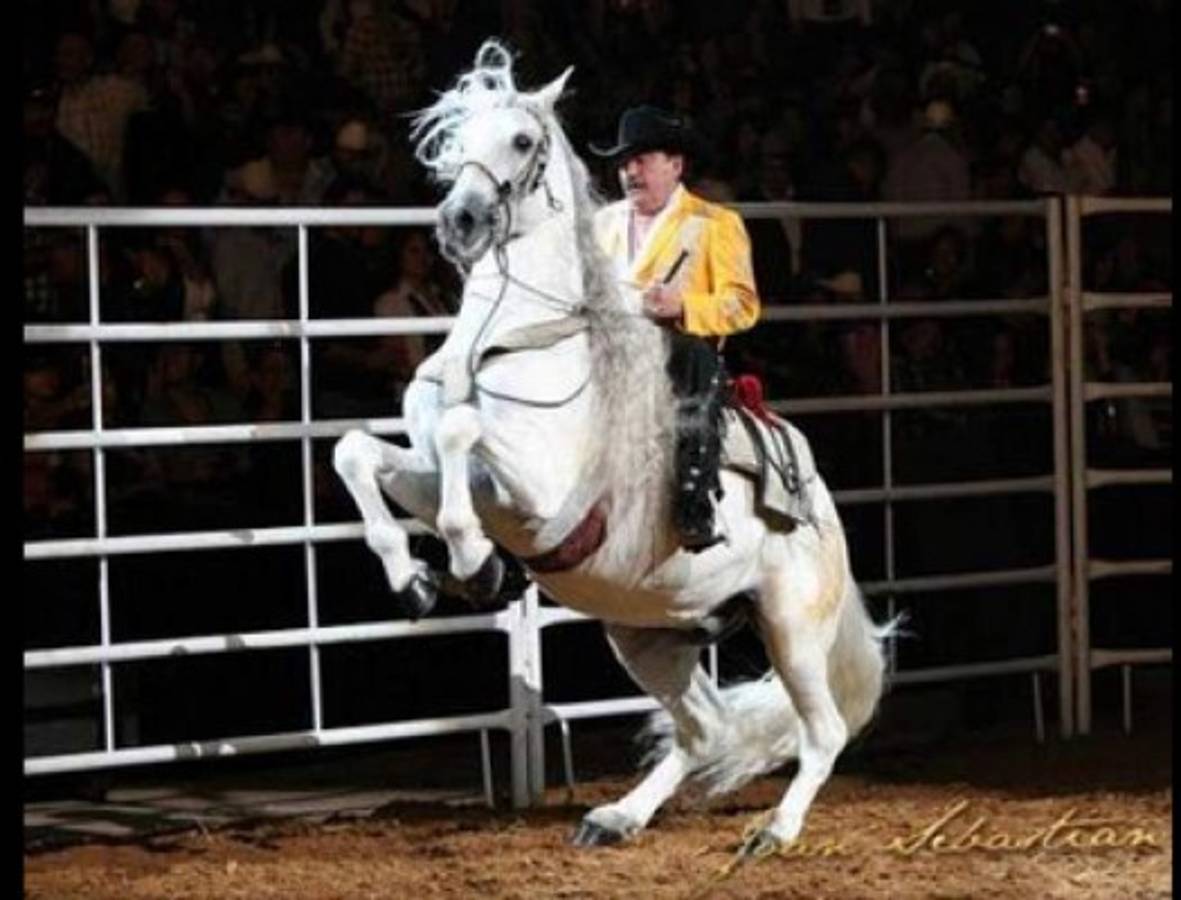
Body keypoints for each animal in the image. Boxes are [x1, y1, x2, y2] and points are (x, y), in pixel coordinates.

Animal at [333, 40, 895, 856]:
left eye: (522, 140)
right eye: (457, 138)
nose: (460, 221)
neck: (512, 340)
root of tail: (825, 515)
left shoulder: (536, 491)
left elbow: (461, 432)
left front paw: (474, 564)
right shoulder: (438, 476)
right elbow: (358, 453)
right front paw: (415, 580)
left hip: (791, 624)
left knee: (821, 732)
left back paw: (773, 830)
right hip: (648, 635)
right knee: (702, 730)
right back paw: (618, 817)